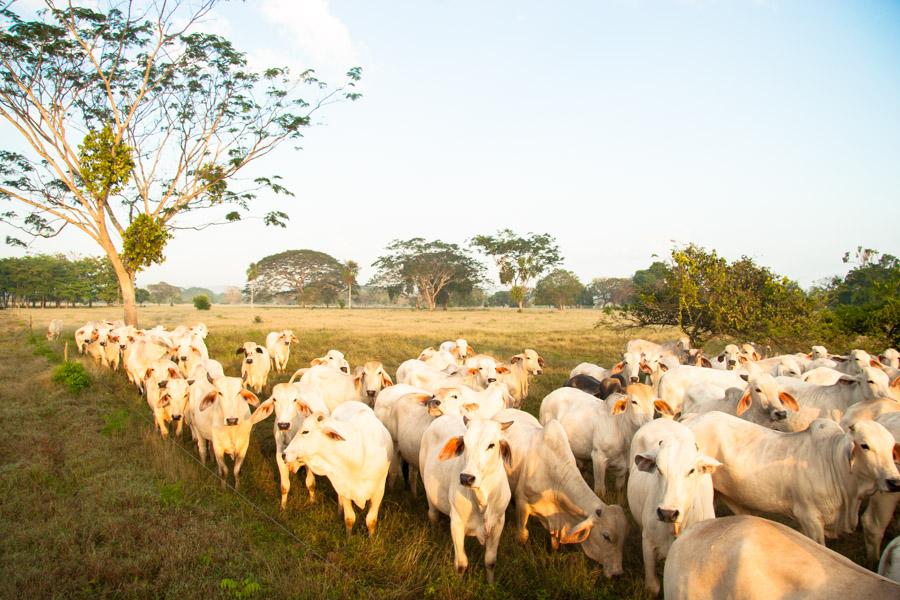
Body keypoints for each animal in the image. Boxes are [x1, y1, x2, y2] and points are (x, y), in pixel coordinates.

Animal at [284, 404, 392, 536]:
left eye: (305, 431)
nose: (284, 454)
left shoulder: (378, 490)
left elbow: (371, 521)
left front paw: (372, 538)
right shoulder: (344, 488)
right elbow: (350, 518)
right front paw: (349, 537)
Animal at [418, 418, 510, 580]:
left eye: (491, 445)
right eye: (465, 444)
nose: (466, 478)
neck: (482, 499)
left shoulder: (498, 523)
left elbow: (490, 561)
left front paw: (490, 583)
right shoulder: (456, 523)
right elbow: (461, 563)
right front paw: (459, 582)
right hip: (428, 490)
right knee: (433, 515)